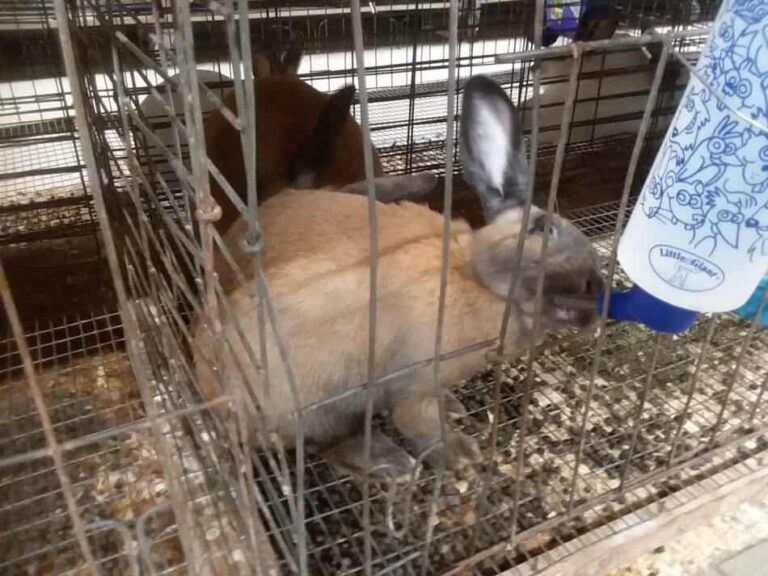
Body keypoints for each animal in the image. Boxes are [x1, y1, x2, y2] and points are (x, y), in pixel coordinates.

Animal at [194, 77, 608, 482]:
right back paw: (390, 463)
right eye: (543, 229)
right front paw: (461, 456)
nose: (597, 293)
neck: (476, 279)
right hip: (318, 406)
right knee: (327, 442)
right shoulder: (416, 382)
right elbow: (418, 422)